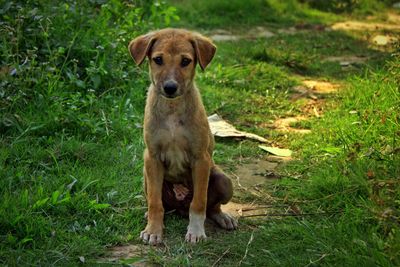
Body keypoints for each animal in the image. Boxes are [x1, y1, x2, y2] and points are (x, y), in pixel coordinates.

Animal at [129, 28, 238, 245]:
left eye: (186, 61)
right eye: (158, 59)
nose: (170, 87)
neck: (172, 108)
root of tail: (180, 206)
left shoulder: (201, 159)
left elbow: (199, 202)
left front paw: (196, 231)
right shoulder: (152, 158)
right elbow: (155, 202)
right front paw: (153, 230)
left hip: (224, 181)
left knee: (211, 207)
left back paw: (222, 217)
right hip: (145, 176)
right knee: (161, 204)